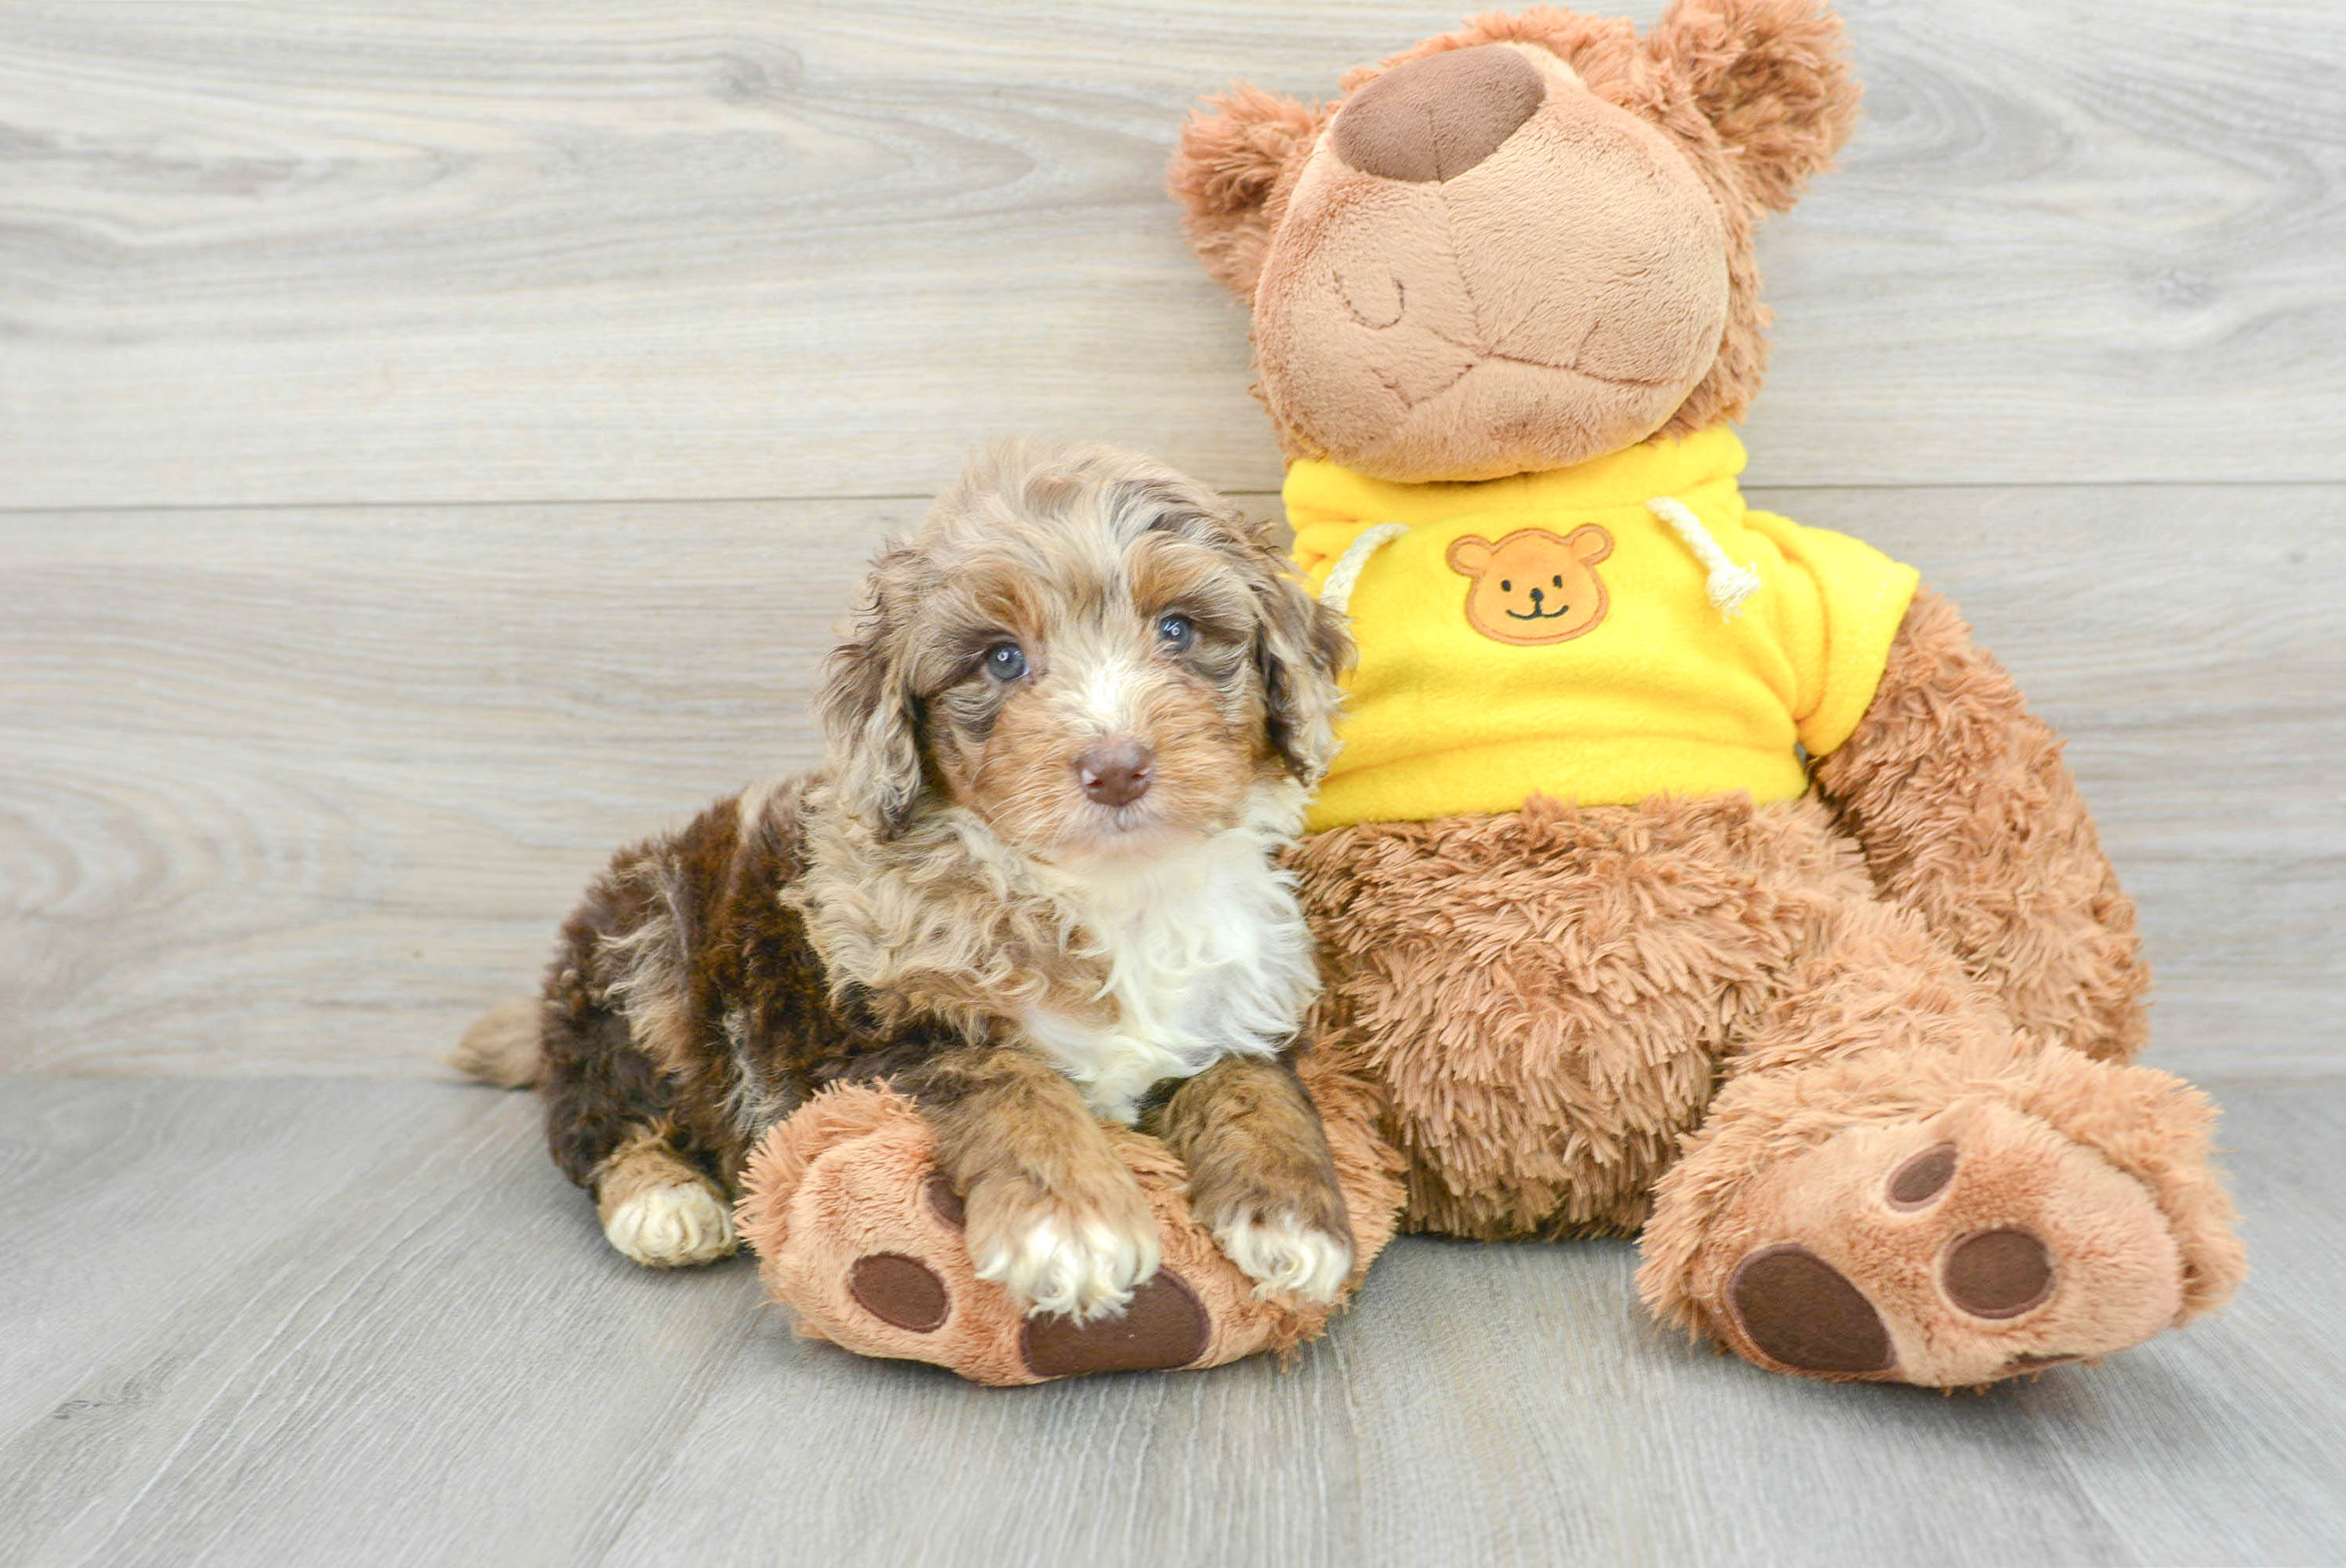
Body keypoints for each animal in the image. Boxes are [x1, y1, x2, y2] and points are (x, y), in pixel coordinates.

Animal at [455, 441, 1360, 1323]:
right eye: (1001, 658)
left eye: (1178, 629)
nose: (1115, 767)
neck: (1113, 893)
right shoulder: (873, 1042)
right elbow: (1010, 1077)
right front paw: (1071, 1222)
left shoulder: (1236, 1006)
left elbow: (1254, 1082)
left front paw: (1294, 1218)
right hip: (642, 959)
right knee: (598, 1120)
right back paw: (665, 1201)